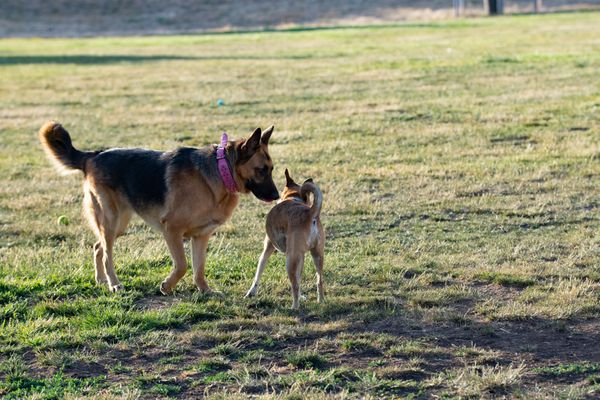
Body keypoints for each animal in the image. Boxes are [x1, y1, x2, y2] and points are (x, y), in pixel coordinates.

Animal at [39, 121, 278, 294]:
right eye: (261, 170)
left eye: (272, 169)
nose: (277, 196)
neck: (221, 171)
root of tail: (93, 155)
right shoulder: (172, 229)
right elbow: (182, 265)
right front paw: (167, 287)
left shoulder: (201, 236)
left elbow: (199, 268)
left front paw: (205, 290)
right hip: (111, 219)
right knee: (107, 253)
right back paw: (114, 283)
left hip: (119, 225)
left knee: (99, 247)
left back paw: (101, 279)